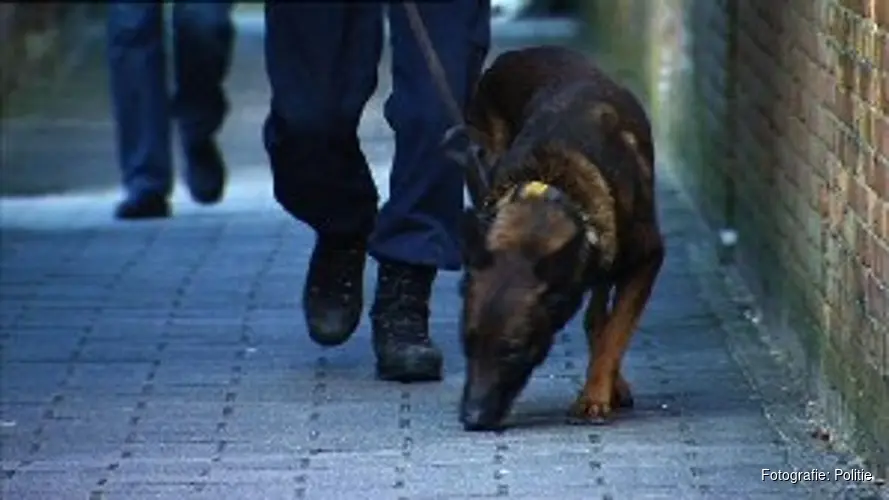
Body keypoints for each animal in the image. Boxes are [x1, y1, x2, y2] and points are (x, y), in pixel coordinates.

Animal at [454, 45, 664, 432]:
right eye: (467, 342)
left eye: (514, 350)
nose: (471, 418)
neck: (552, 193)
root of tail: (515, 53)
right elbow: (606, 327)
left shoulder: (647, 258)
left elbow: (616, 333)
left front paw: (595, 395)